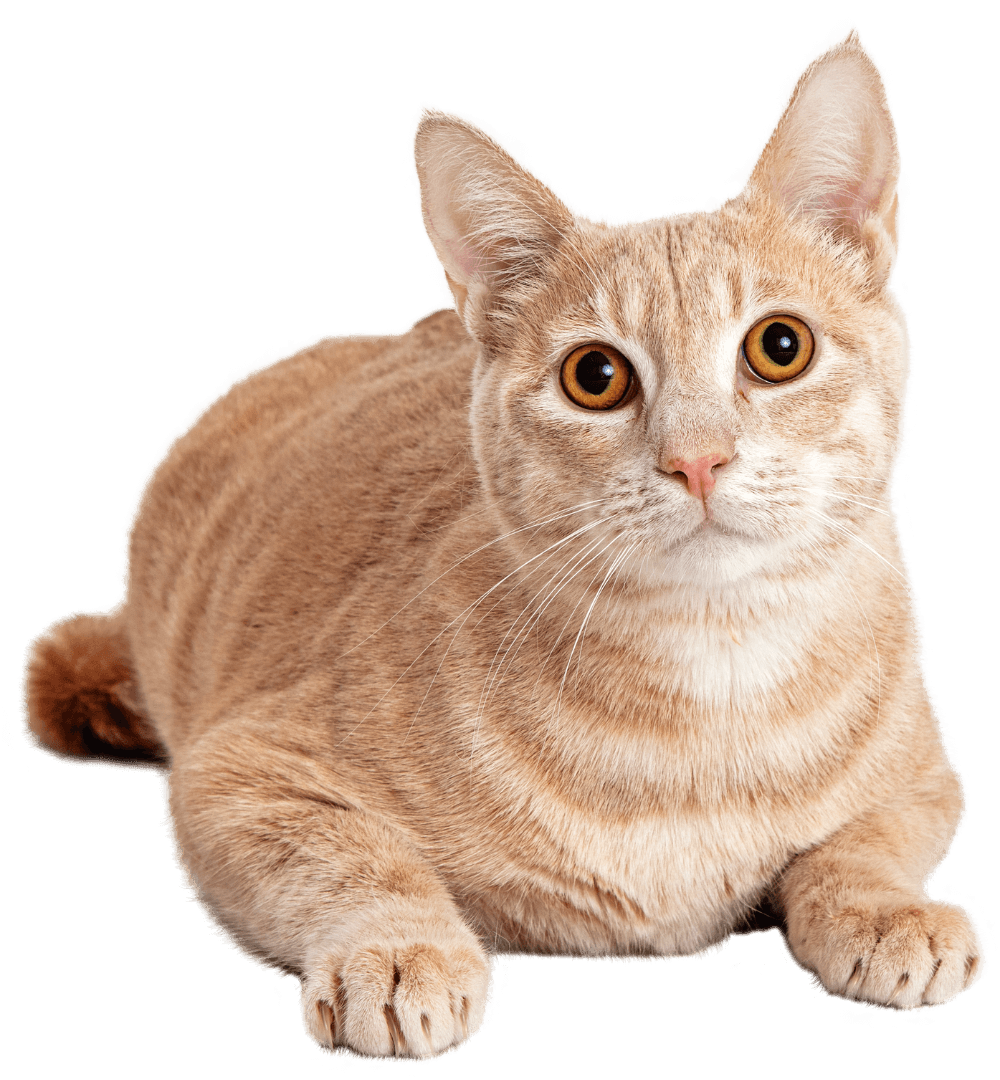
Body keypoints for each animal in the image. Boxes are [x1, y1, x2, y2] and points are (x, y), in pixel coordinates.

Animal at [21, 23, 984, 1062]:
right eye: (595, 376)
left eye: (780, 347)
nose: (697, 459)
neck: (707, 693)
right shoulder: (241, 778)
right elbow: (358, 863)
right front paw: (398, 949)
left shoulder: (927, 777)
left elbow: (864, 844)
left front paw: (887, 910)